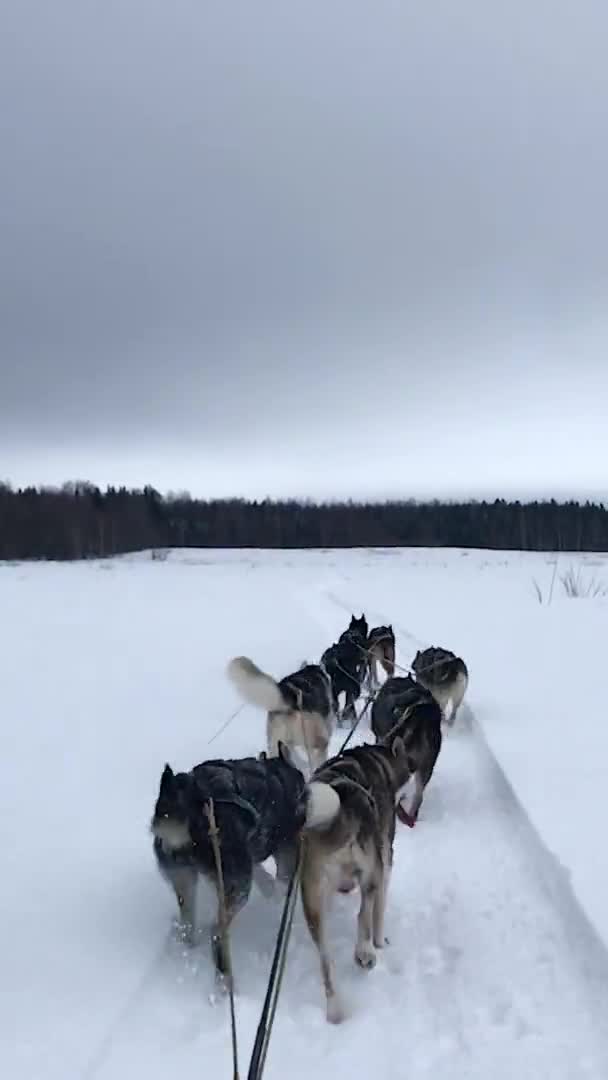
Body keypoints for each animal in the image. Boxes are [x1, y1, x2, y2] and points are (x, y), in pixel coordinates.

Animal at [151, 747, 304, 984]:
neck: (280, 776)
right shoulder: (287, 853)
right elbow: (282, 885)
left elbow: (263, 875)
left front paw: (268, 887)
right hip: (236, 889)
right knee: (216, 932)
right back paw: (225, 982)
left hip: (185, 881)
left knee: (187, 926)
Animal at [298, 738, 416, 1023]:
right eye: (411, 769)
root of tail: (344, 810)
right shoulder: (386, 862)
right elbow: (378, 915)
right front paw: (380, 943)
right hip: (372, 872)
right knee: (364, 914)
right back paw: (365, 952)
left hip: (312, 901)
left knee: (326, 961)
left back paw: (335, 1012)